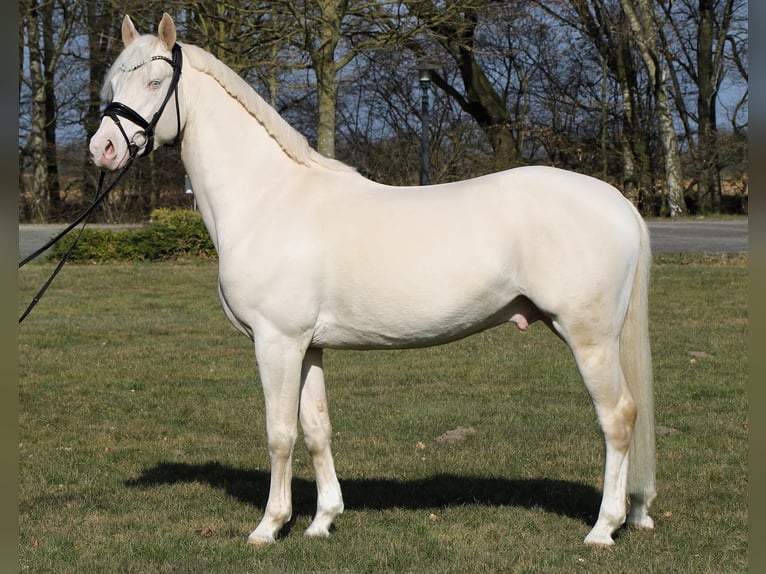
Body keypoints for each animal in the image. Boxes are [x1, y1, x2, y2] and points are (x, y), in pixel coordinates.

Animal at [88, 11, 656, 548]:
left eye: (155, 83)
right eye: (113, 83)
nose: (103, 149)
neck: (269, 197)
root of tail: (618, 202)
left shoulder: (277, 342)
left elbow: (280, 433)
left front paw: (269, 526)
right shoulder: (308, 346)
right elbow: (317, 429)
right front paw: (322, 521)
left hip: (589, 338)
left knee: (618, 418)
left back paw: (604, 528)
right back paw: (633, 515)